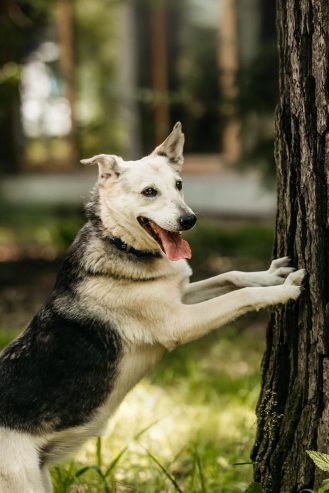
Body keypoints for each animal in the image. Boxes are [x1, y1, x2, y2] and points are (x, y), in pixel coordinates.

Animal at [0, 122, 304, 488]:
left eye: (179, 185)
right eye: (149, 192)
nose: (190, 220)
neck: (120, 244)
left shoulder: (180, 296)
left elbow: (231, 277)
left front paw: (270, 276)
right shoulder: (178, 323)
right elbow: (238, 296)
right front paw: (282, 292)